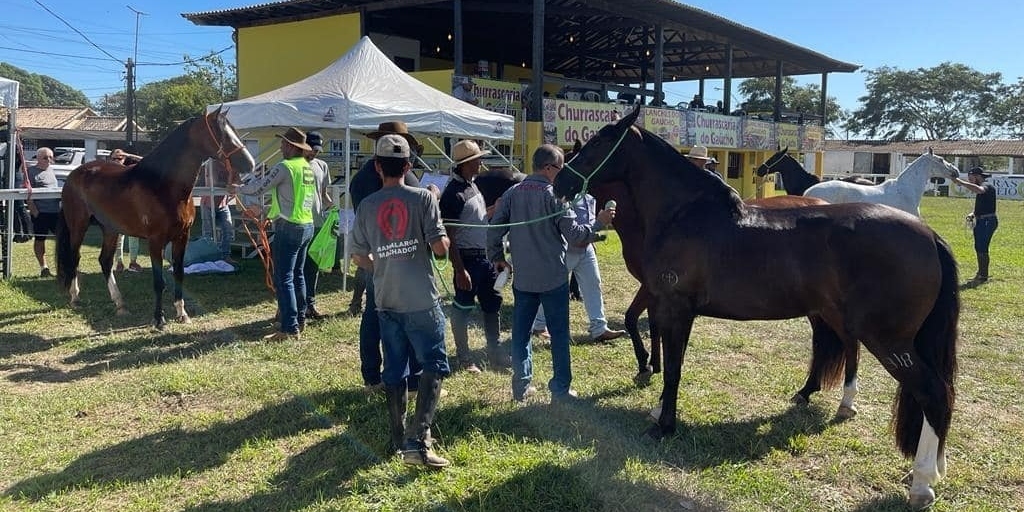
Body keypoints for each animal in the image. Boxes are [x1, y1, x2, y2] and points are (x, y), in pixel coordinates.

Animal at [57, 109, 254, 329]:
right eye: (222, 134)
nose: (250, 164)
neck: (162, 185)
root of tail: (74, 175)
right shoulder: (155, 241)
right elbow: (159, 281)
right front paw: (159, 319)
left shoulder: (181, 238)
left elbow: (178, 274)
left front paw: (182, 313)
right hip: (78, 226)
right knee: (74, 257)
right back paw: (75, 297)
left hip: (110, 229)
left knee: (105, 261)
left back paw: (120, 303)